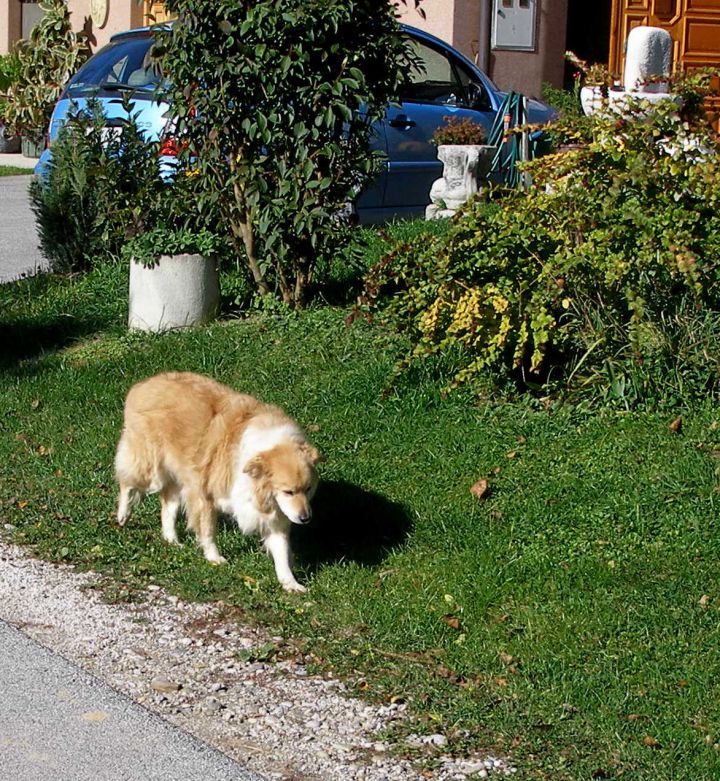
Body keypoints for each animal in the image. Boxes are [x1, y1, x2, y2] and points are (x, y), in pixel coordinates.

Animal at [114, 372, 320, 592]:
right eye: (288, 492)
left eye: (308, 489)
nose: (305, 518)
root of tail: (146, 382)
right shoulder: (204, 495)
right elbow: (207, 532)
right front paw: (213, 558)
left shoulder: (273, 515)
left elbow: (281, 552)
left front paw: (290, 583)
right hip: (149, 467)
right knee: (127, 482)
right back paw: (123, 515)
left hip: (179, 478)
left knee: (167, 505)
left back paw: (171, 540)